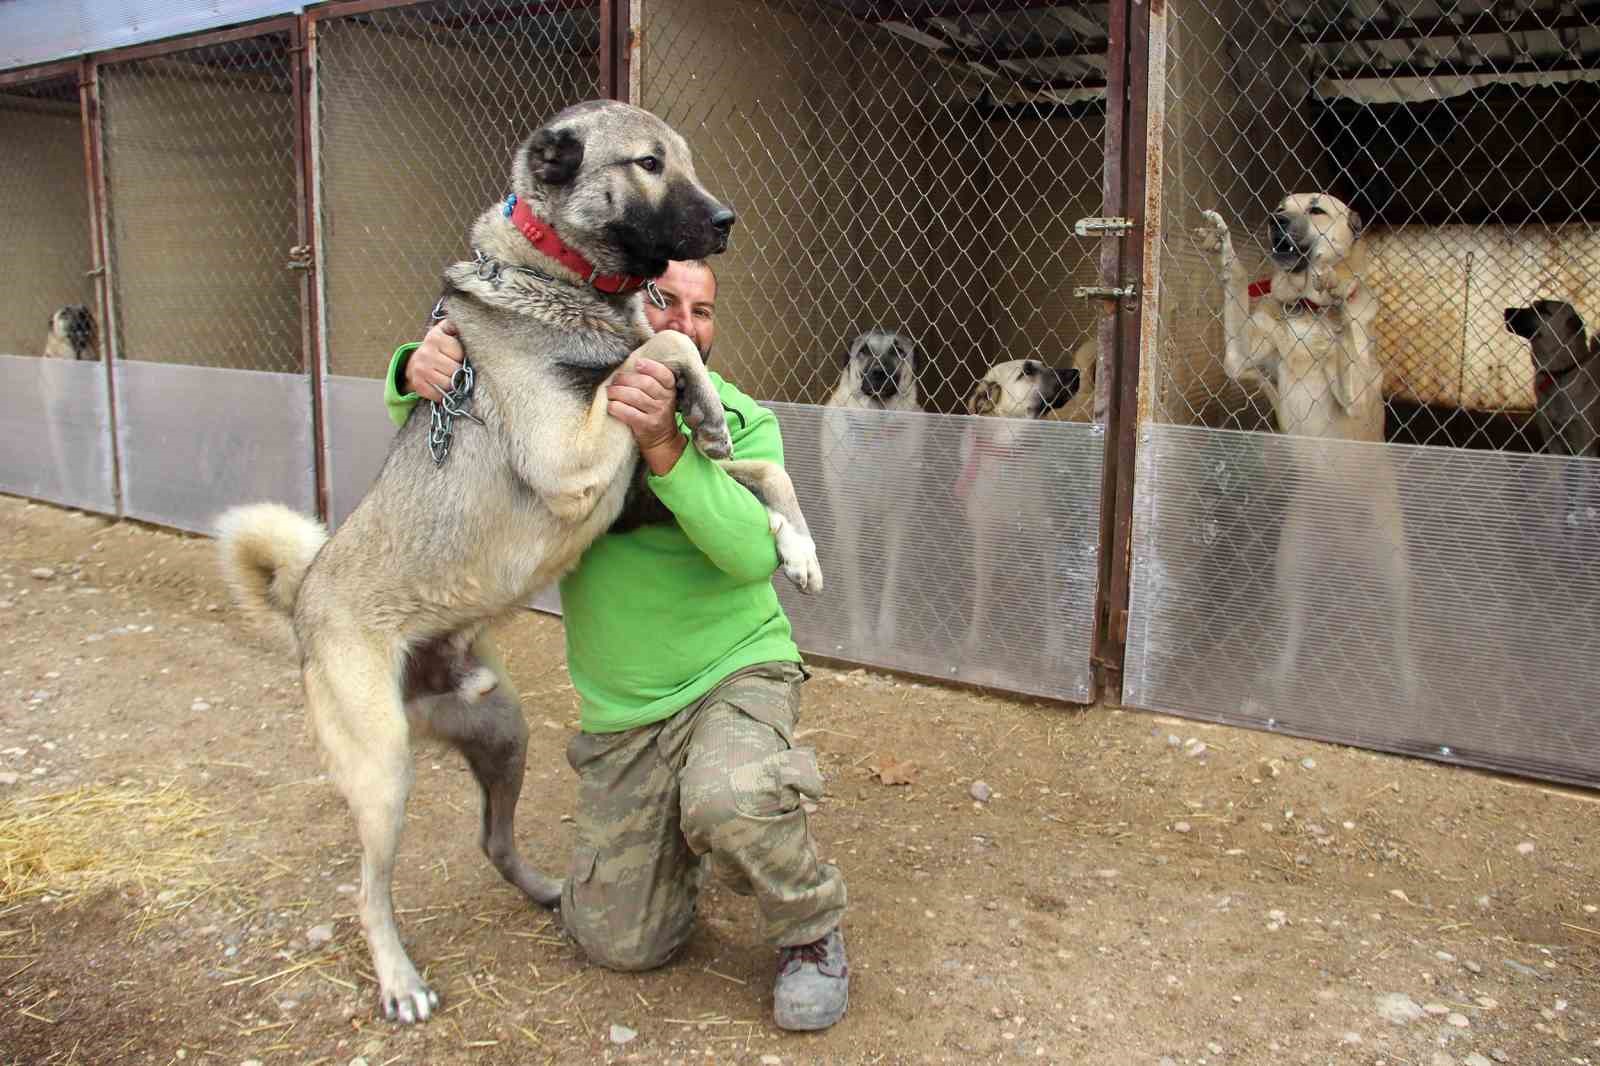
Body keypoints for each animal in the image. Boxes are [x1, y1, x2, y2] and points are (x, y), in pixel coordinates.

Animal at [825, 326, 928, 646]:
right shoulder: (848, 520)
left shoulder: (898, 520)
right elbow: (854, 584)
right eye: (864, 351)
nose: (879, 373)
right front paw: (860, 634)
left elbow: (891, 580)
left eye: (898, 351)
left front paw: (885, 631)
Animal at [1203, 192, 1414, 704]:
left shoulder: (1355, 391)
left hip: (1397, 574)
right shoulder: (1240, 361)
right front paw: (1224, 249)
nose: (1274, 220)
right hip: (1291, 568)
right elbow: (1238, 289)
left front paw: (1337, 287)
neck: (1305, 312)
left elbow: (1350, 330)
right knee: (1293, 633)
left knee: (1400, 634)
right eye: (1281, 204)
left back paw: (1409, 685)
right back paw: (1277, 680)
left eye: (1316, 209)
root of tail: (1343, 554)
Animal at [1504, 296, 1593, 454]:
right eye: (1533, 305)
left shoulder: (1585, 446)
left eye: (1543, 310)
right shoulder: (1552, 439)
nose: (1506, 311)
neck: (1556, 374)